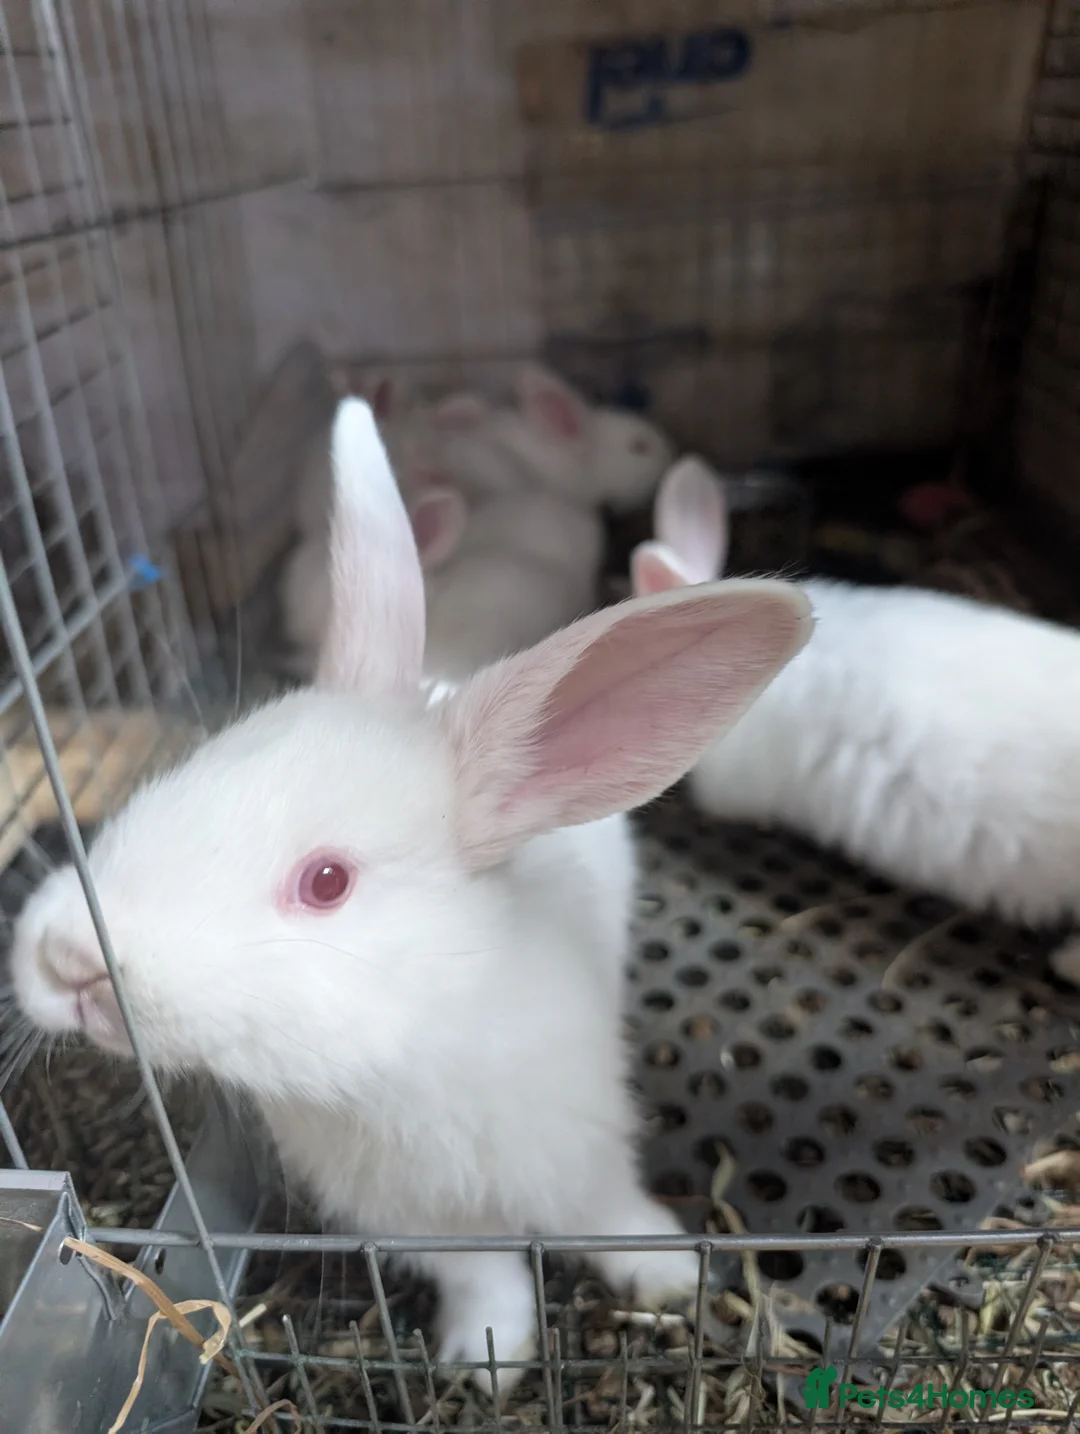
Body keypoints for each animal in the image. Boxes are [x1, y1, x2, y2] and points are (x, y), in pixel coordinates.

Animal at [13, 400, 811, 1395]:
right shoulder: (416, 1223)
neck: (400, 1063)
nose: (66, 960)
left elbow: (610, 1215)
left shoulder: (582, 1154)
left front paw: (668, 1278)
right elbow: (488, 1279)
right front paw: (485, 1362)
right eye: (183, 774)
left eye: (327, 882)